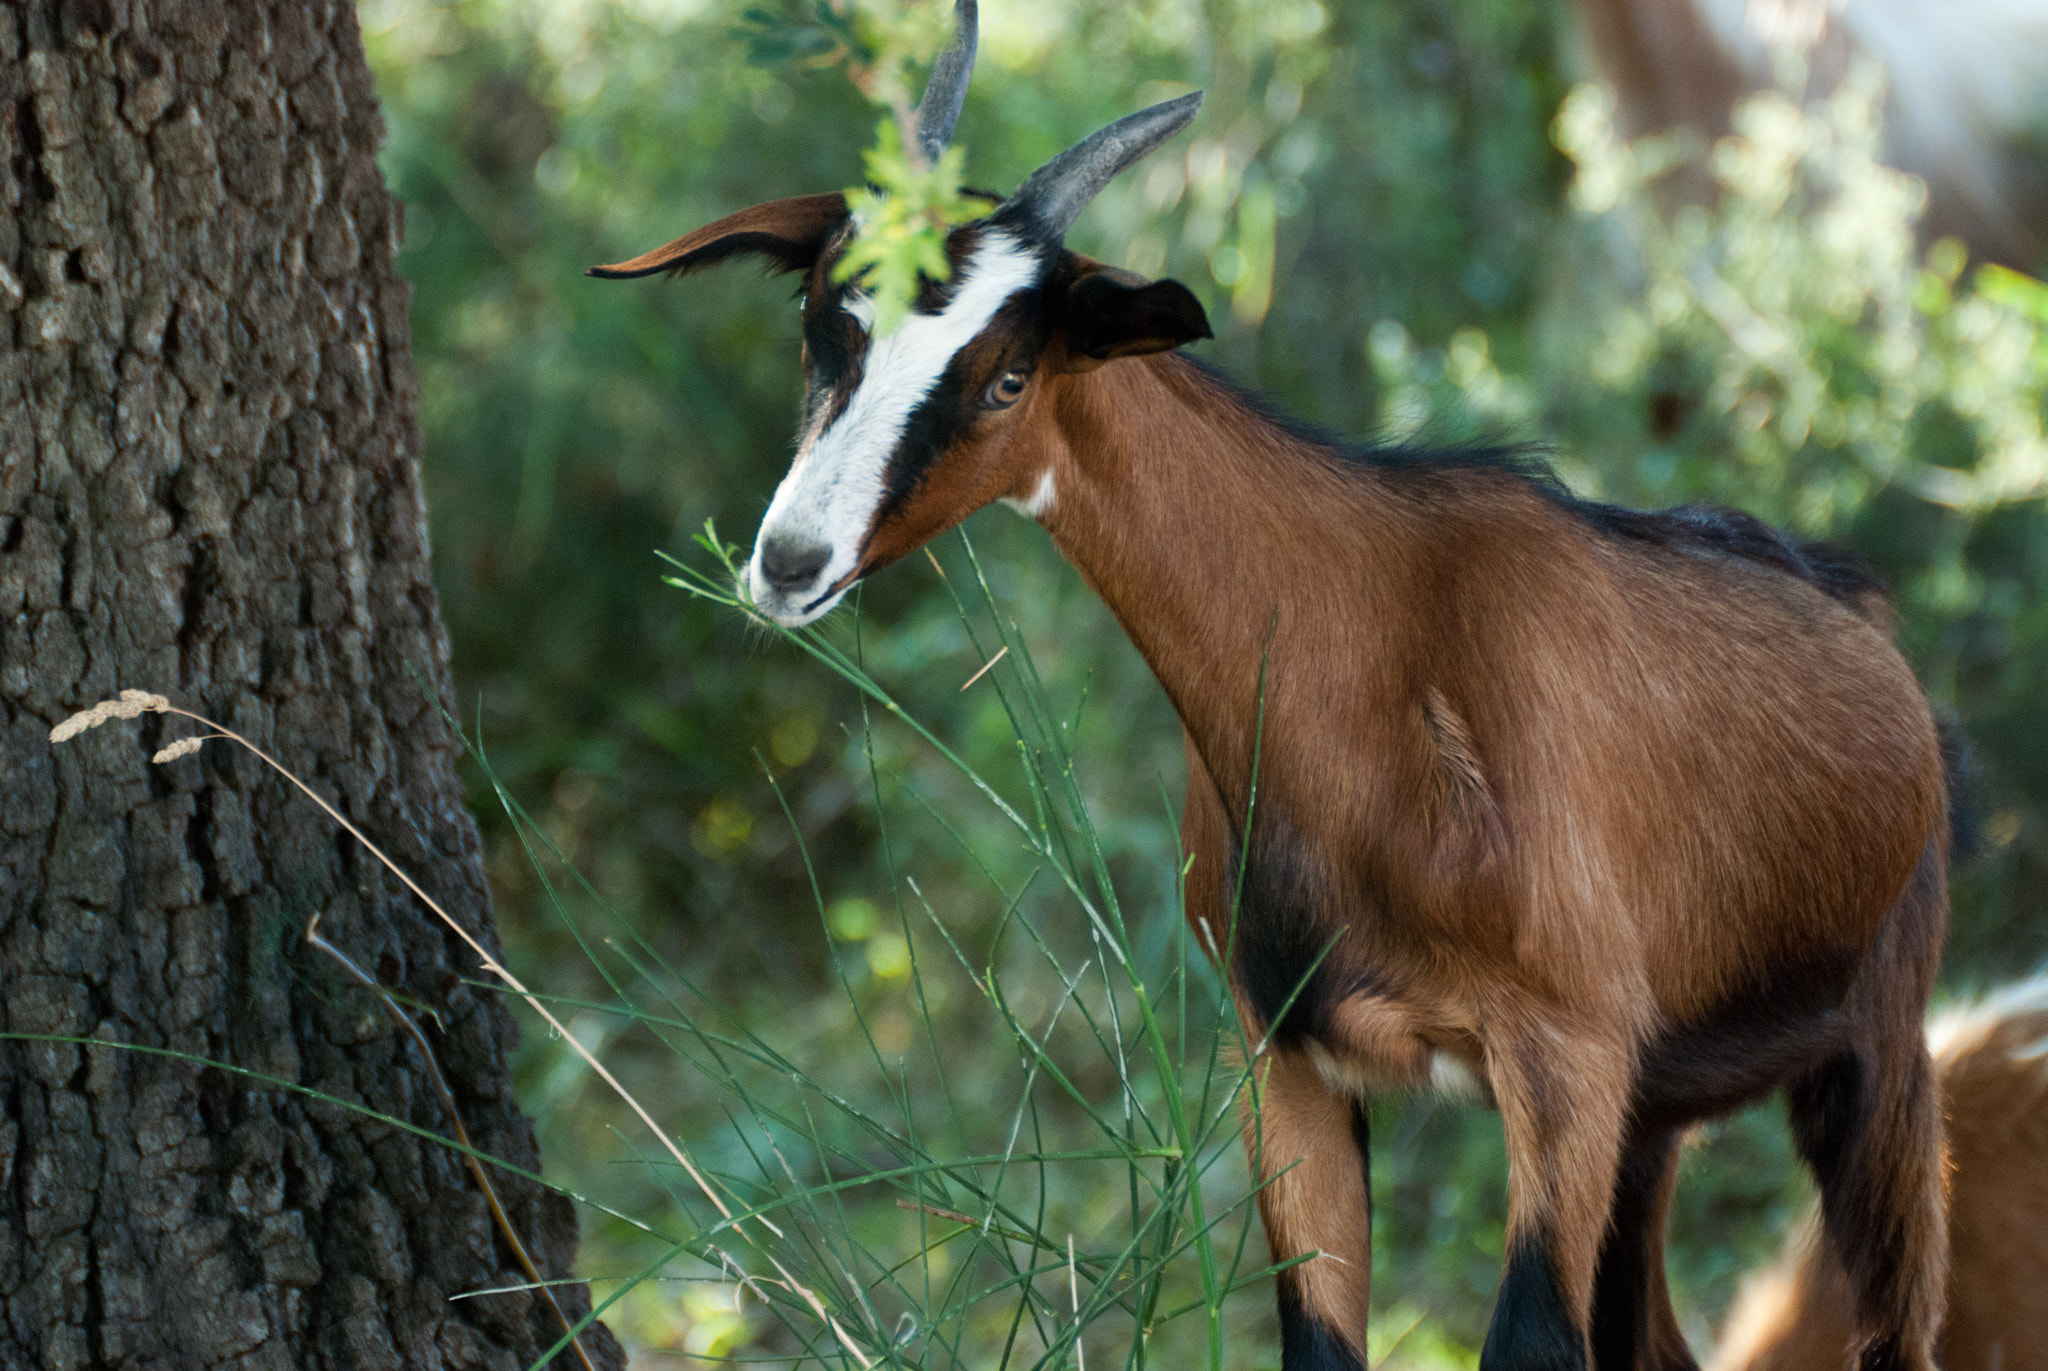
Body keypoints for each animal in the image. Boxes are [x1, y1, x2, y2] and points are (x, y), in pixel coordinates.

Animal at [589, 5, 1949, 1360]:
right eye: (824, 322)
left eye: (1006, 378)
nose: (788, 562)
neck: (1369, 661)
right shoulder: (1283, 1058)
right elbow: (1316, 1337)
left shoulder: (1564, 1061)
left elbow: (1524, 1336)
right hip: (1657, 1123)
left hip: (1871, 1063)